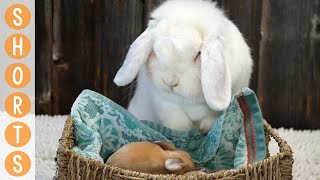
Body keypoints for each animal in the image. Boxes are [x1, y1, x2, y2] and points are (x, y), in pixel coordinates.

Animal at [114, 0, 251, 132]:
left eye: (198, 54)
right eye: (155, 51)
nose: (170, 82)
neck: (190, 101)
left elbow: (210, 118)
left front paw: (205, 129)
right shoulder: (164, 104)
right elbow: (178, 124)